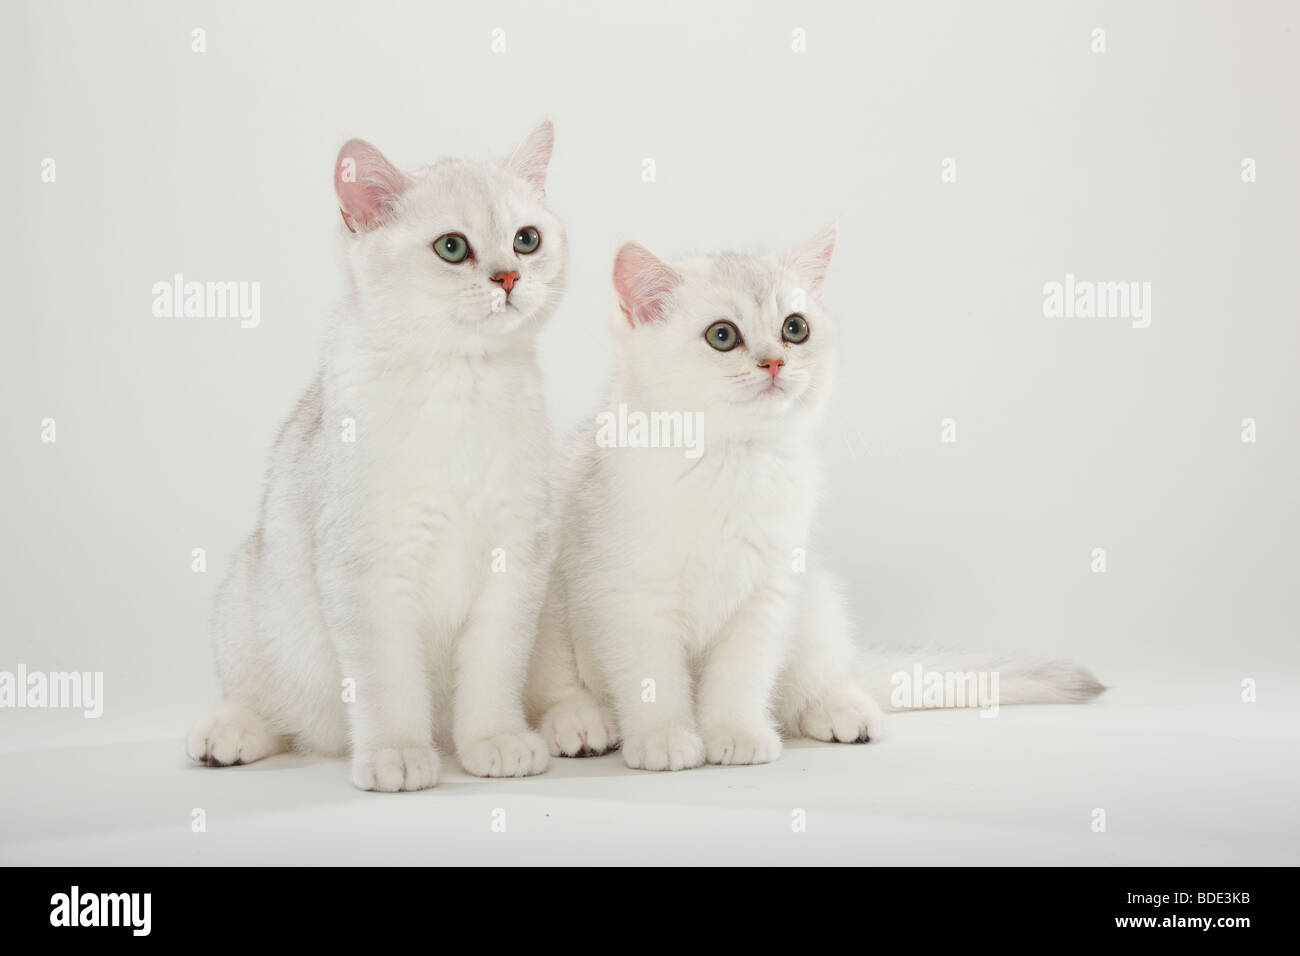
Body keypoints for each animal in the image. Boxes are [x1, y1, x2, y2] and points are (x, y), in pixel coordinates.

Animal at [184, 121, 564, 790]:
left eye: (527, 240)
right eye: (451, 247)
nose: (508, 279)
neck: (461, 388)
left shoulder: (516, 559)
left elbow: (494, 670)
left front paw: (494, 740)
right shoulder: (366, 568)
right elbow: (387, 680)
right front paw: (398, 753)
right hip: (251, 605)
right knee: (266, 702)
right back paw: (228, 734)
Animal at [522, 230, 1102, 770]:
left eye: (794, 328)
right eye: (722, 335)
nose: (775, 363)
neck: (732, 461)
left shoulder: (769, 592)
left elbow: (741, 677)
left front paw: (735, 734)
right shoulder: (634, 597)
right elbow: (651, 679)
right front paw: (665, 737)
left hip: (815, 597)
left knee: (817, 678)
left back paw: (843, 710)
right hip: (548, 599)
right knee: (557, 691)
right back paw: (581, 724)